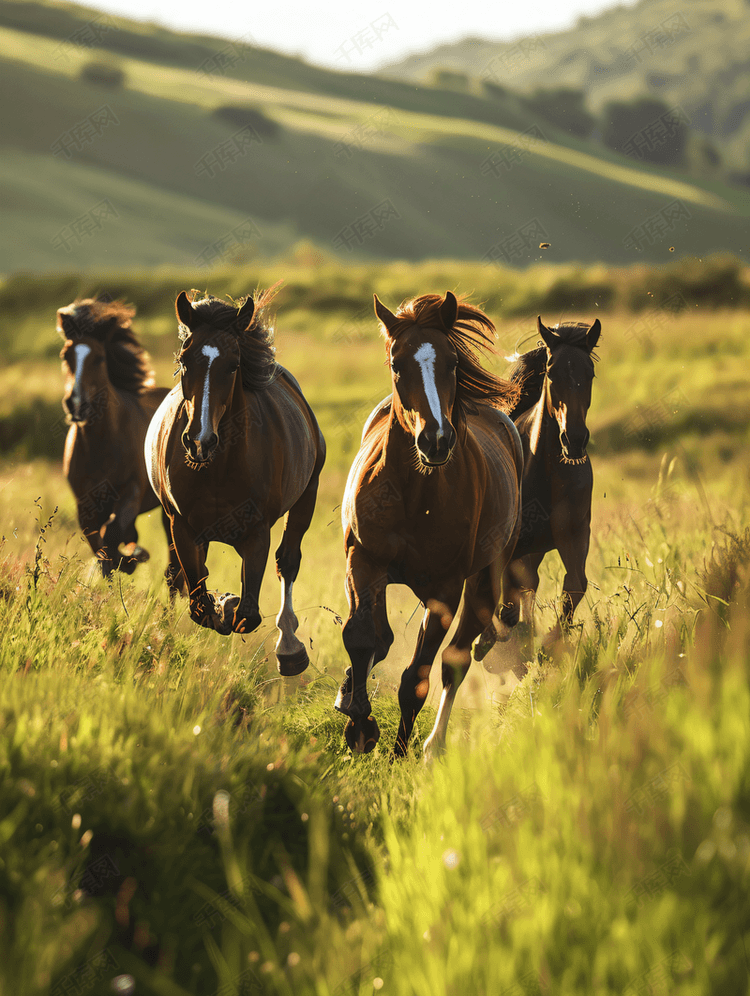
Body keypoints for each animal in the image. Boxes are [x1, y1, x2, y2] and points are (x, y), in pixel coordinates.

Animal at [58, 296, 173, 576]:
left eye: (99, 358)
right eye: (66, 355)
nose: (76, 404)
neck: (101, 444)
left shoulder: (131, 491)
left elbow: (112, 532)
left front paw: (133, 558)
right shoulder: (85, 505)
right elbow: (100, 547)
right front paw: (126, 560)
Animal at [144, 288, 326, 676]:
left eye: (233, 365)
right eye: (185, 361)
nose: (199, 441)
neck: (218, 468)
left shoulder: (256, 532)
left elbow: (248, 614)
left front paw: (229, 603)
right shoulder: (182, 527)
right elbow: (198, 601)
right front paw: (220, 602)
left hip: (307, 497)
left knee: (288, 562)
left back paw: (289, 648)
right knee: (177, 575)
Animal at [334, 292, 524, 760]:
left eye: (452, 363)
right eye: (396, 364)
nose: (435, 440)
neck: (413, 496)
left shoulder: (446, 590)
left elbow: (416, 679)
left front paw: (396, 752)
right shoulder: (363, 560)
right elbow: (362, 637)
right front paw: (358, 724)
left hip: (482, 581)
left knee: (456, 660)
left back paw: (432, 746)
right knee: (384, 640)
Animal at [494, 314, 604, 652]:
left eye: (589, 373)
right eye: (552, 373)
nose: (575, 440)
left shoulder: (574, 536)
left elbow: (575, 586)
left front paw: (548, 647)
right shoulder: (513, 549)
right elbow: (507, 605)